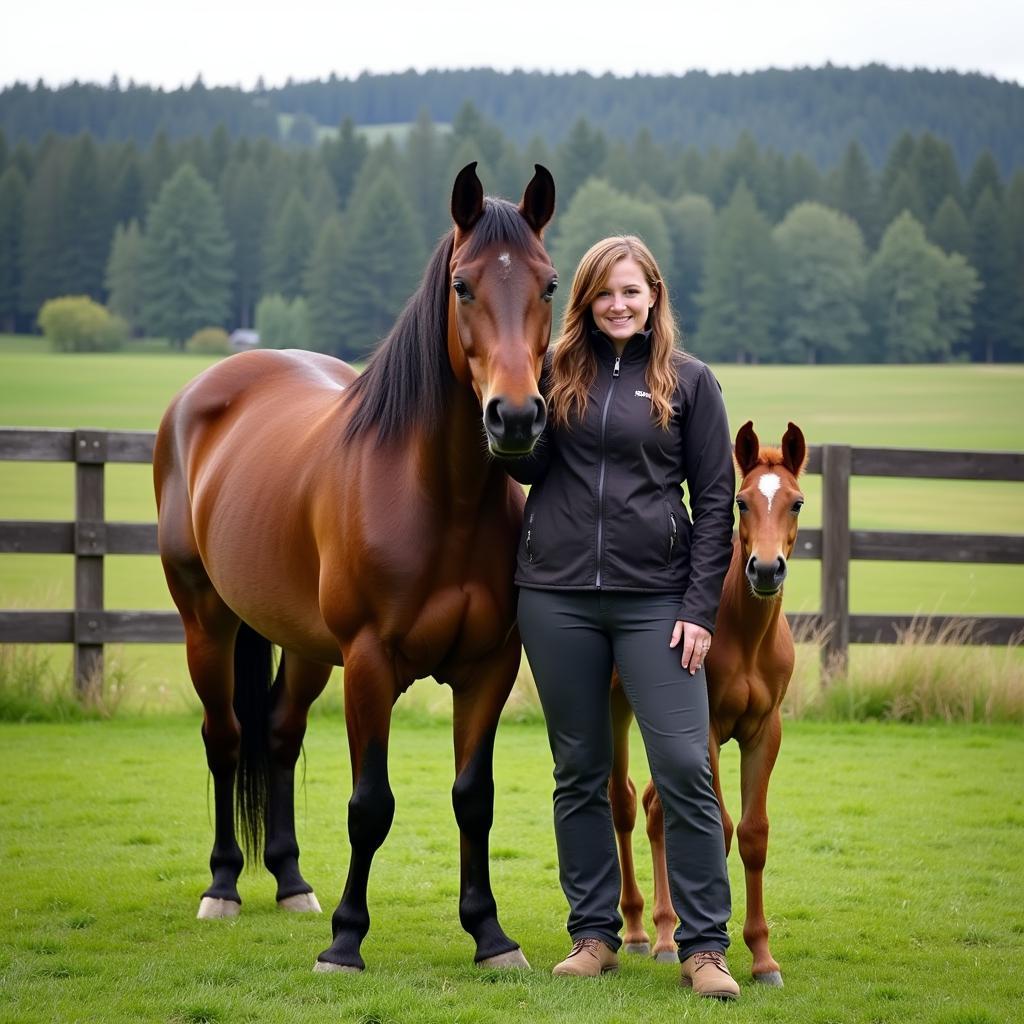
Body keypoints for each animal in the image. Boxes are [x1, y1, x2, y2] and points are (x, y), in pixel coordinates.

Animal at [153, 163, 561, 970]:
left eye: (550, 284)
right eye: (463, 285)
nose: (515, 417)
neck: (440, 498)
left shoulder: (489, 667)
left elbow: (474, 797)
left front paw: (490, 935)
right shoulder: (370, 663)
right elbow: (370, 804)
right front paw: (346, 940)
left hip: (308, 647)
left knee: (279, 734)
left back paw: (289, 881)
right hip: (206, 623)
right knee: (226, 738)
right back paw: (223, 887)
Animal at [610, 421, 802, 983]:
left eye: (796, 503)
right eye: (742, 501)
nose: (766, 570)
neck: (744, 633)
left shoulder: (765, 731)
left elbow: (754, 834)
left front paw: (762, 957)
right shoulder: (710, 728)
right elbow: (719, 826)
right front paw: (715, 946)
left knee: (655, 808)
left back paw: (665, 933)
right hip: (616, 708)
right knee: (623, 801)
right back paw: (638, 931)